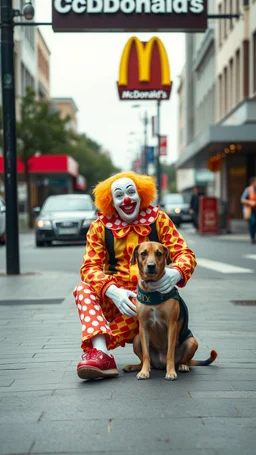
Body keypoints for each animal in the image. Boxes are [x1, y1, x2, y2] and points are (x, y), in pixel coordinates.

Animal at [123, 242, 217, 382]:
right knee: (146, 361)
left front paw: (171, 372)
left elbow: (170, 353)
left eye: (159, 253)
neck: (153, 288)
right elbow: (146, 355)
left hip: (192, 341)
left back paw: (182, 366)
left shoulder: (171, 325)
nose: (151, 266)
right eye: (143, 253)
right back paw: (136, 367)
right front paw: (144, 372)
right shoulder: (143, 326)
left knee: (184, 360)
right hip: (137, 339)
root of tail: (160, 364)